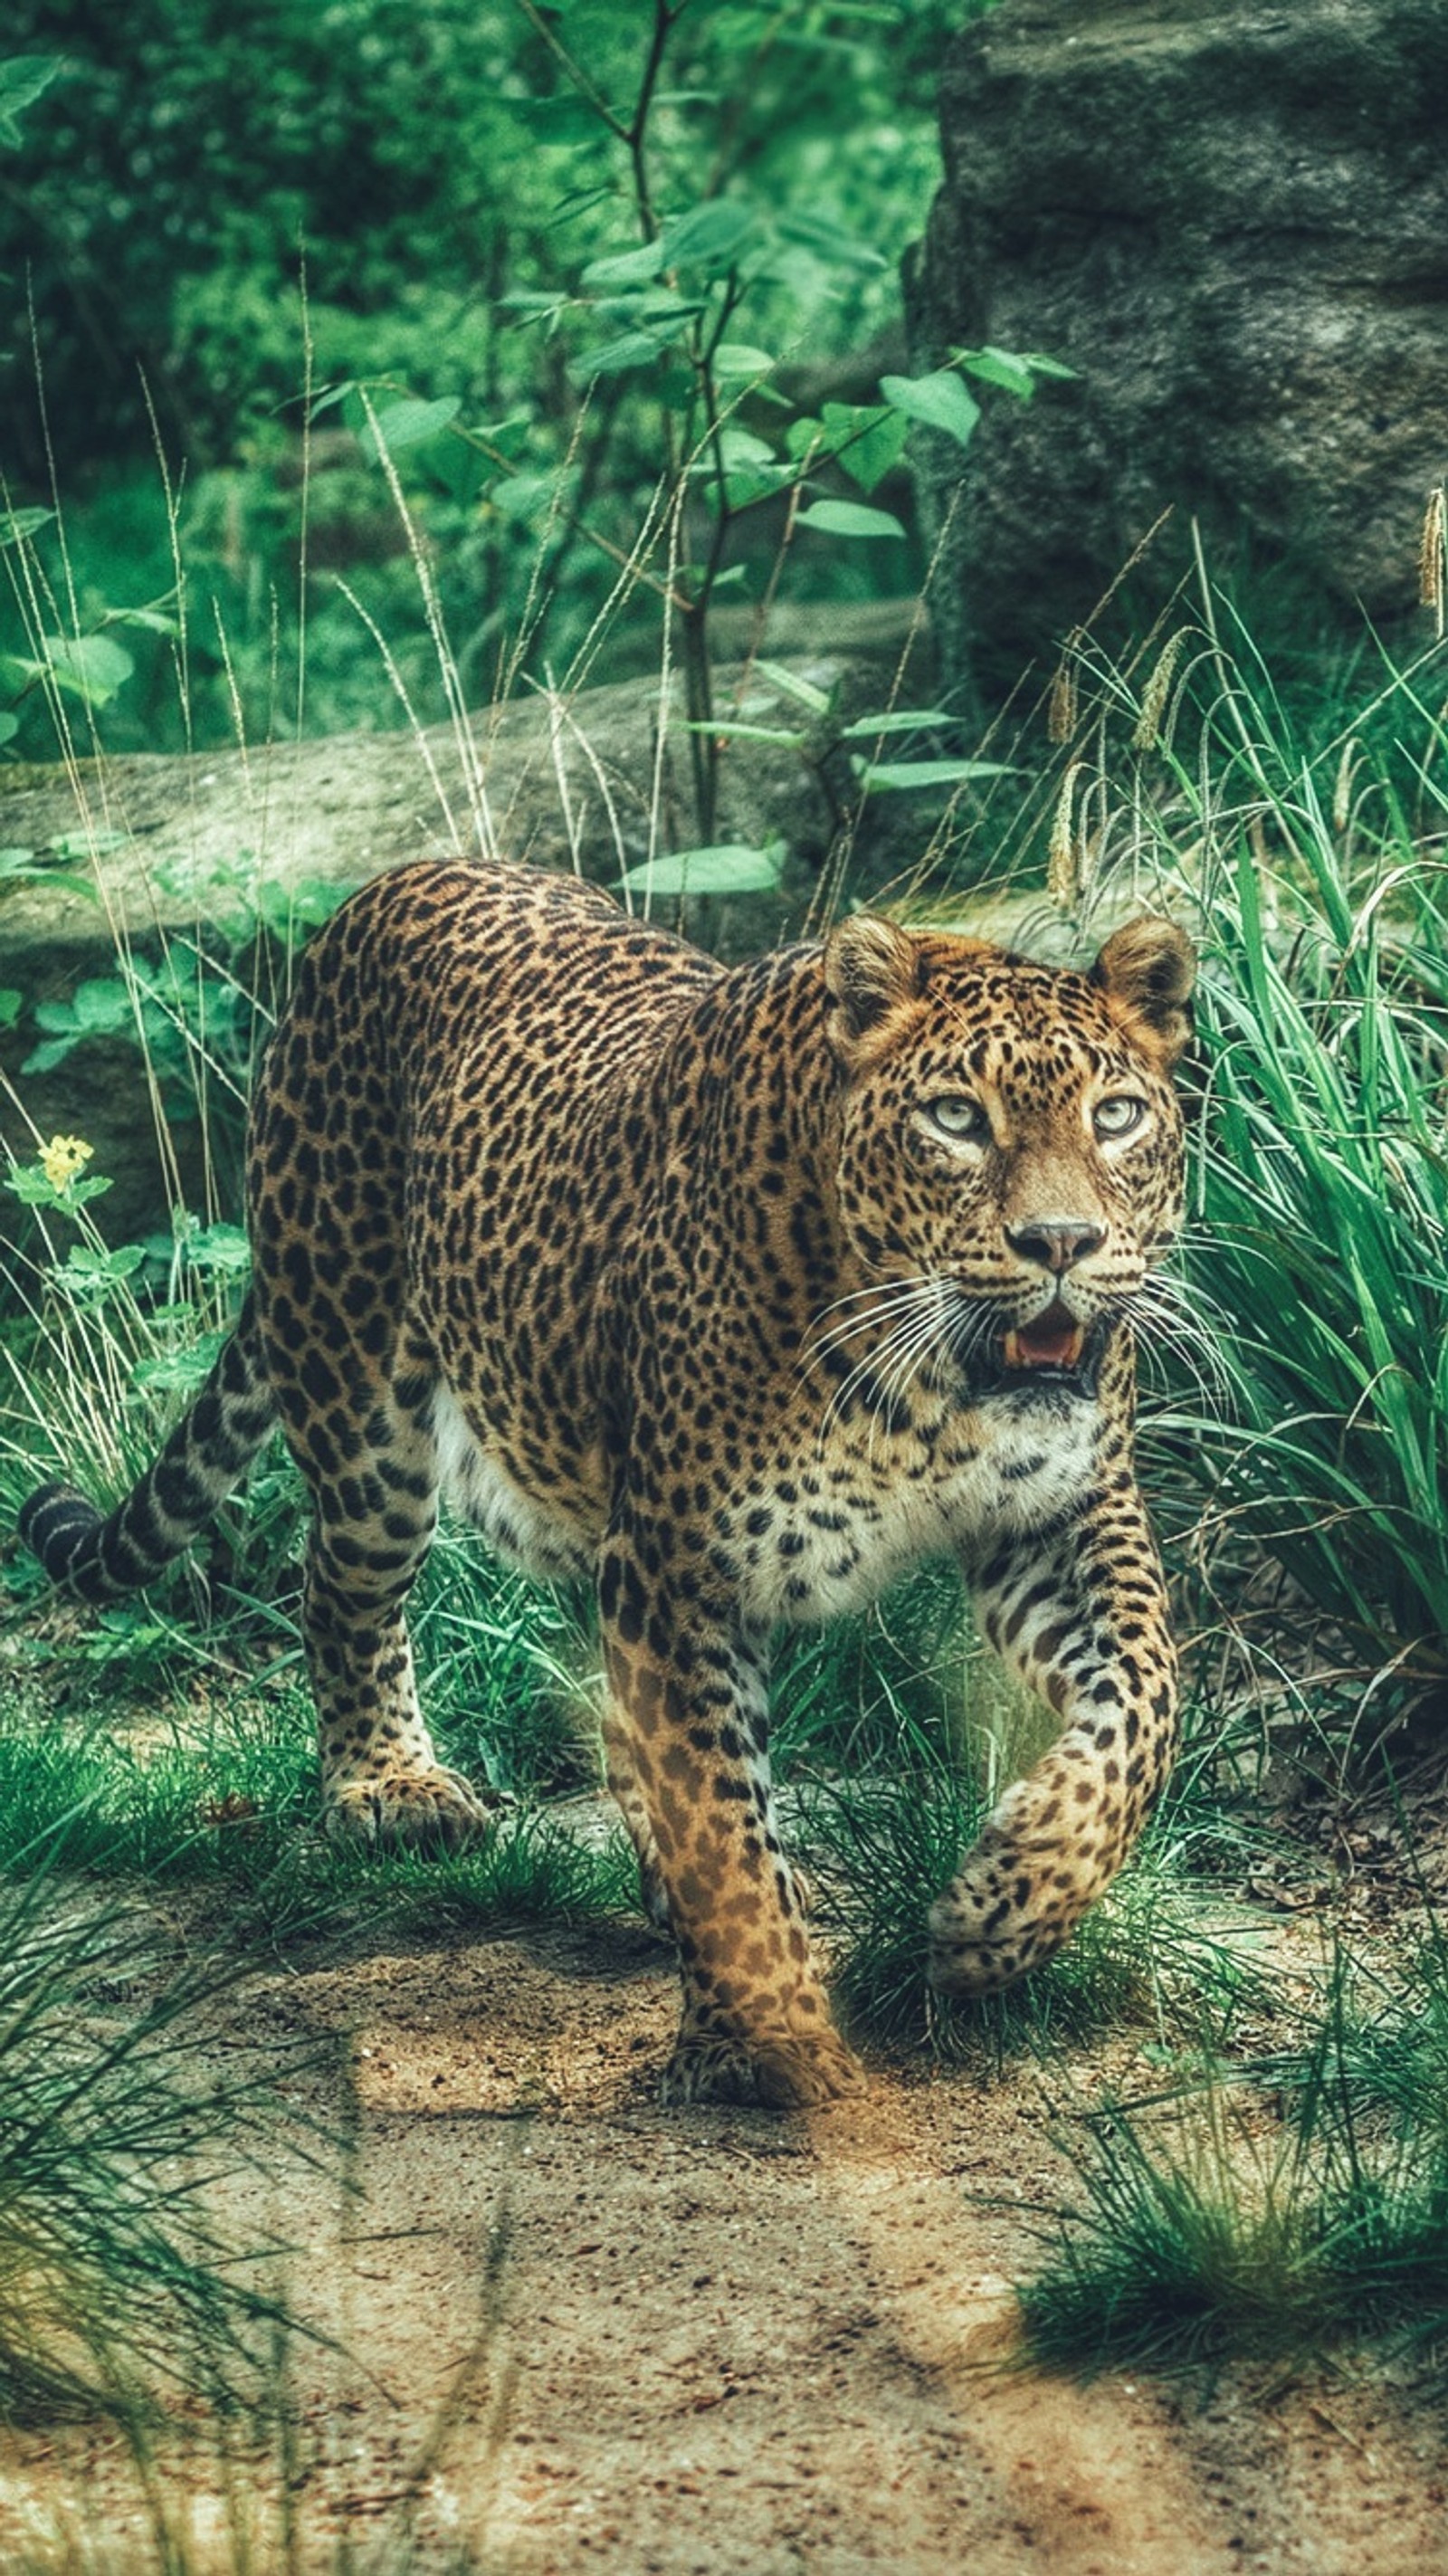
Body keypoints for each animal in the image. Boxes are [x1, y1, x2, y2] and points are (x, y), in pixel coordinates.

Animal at [22, 854, 1190, 2102]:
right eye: (956, 1118)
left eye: (1114, 1115)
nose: (1061, 1242)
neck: (926, 1389)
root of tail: (393, 882)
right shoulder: (681, 1558)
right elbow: (717, 1802)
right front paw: (756, 2040)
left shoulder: (1067, 1509)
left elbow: (1144, 1701)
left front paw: (1004, 1908)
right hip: (357, 1394)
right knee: (336, 1588)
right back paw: (388, 1787)